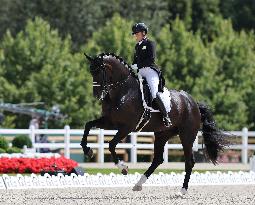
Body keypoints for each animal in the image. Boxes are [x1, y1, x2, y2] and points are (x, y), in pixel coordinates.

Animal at [80, 52, 228, 194]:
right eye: (91, 71)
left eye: (99, 71)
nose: (97, 95)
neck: (123, 92)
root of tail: (194, 103)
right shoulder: (110, 122)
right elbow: (88, 125)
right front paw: (88, 151)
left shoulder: (127, 127)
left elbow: (111, 145)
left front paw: (123, 168)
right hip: (162, 134)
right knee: (157, 159)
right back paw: (138, 184)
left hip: (187, 136)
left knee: (189, 161)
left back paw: (182, 191)